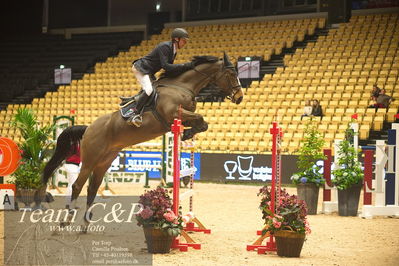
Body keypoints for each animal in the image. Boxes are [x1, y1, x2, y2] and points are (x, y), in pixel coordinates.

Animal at [43, 52, 244, 222]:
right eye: (231, 74)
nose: (240, 97)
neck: (181, 86)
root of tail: (88, 129)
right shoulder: (173, 115)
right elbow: (201, 119)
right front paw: (188, 133)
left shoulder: (183, 117)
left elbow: (202, 123)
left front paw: (188, 133)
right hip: (90, 160)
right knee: (77, 186)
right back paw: (67, 220)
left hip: (104, 160)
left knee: (92, 187)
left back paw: (85, 222)